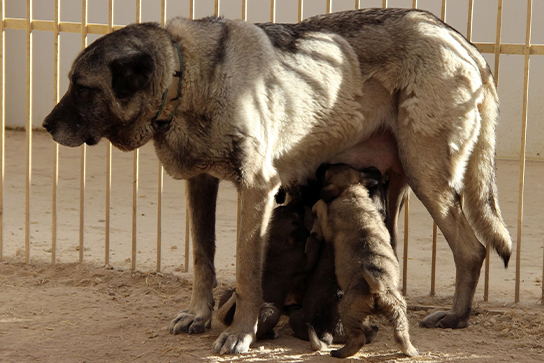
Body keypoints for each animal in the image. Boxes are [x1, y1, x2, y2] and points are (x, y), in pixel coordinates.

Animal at [312, 165, 418, 358]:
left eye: (326, 171)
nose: (321, 165)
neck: (352, 193)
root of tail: (377, 288)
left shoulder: (328, 228)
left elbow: (322, 207)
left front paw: (317, 205)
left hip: (347, 310)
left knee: (357, 338)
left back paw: (340, 352)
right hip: (397, 310)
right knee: (401, 334)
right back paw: (411, 351)